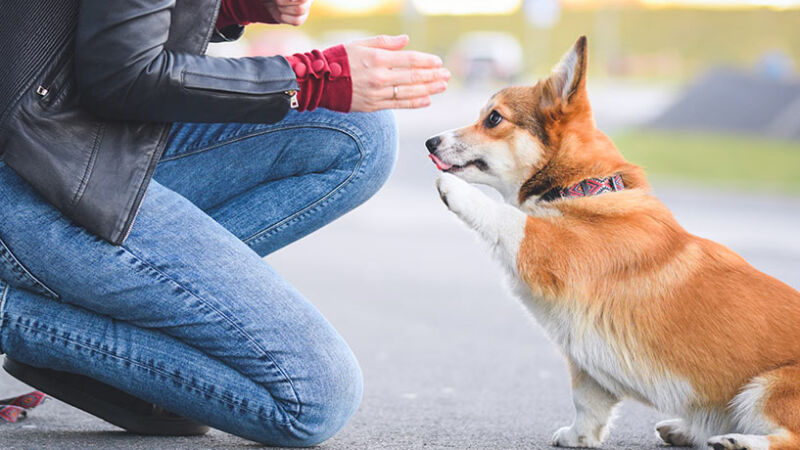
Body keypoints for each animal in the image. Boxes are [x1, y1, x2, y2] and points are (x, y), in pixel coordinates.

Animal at [428, 37, 800, 448]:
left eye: (493, 118)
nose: (430, 141)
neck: (581, 187)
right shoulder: (584, 360)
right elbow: (587, 402)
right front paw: (579, 437)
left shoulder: (549, 247)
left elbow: (508, 218)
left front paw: (454, 190)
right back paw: (685, 429)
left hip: (768, 388)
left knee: (787, 437)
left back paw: (737, 440)